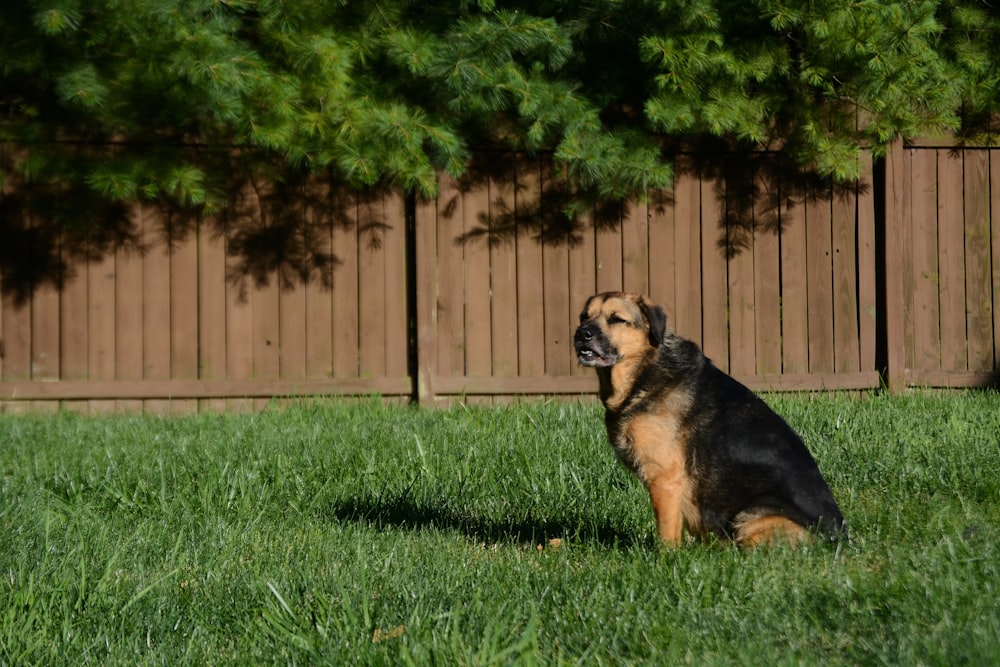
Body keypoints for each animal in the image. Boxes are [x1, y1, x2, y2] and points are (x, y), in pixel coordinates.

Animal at [580, 292, 844, 548]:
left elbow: (667, 532)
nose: (583, 333)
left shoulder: (664, 478)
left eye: (616, 319)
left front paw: (666, 557)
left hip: (753, 518)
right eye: (584, 317)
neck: (644, 370)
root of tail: (839, 539)